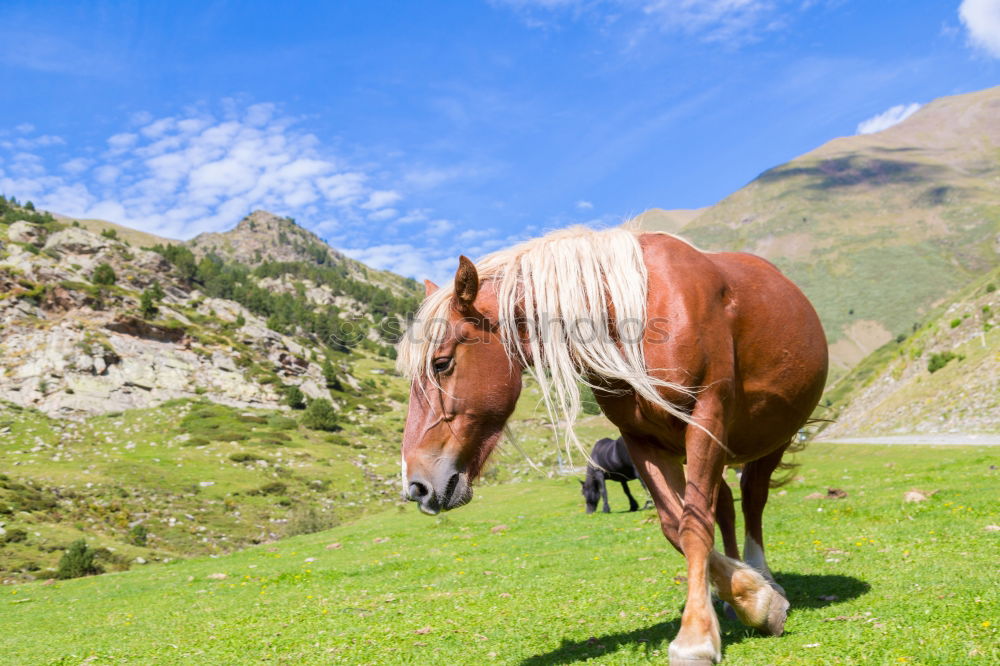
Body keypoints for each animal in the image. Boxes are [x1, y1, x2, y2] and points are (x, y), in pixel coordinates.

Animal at [398, 226, 828, 660]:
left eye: (441, 363)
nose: (416, 486)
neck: (632, 312)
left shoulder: (706, 418)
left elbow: (694, 524)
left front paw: (700, 635)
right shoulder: (642, 440)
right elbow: (675, 525)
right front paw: (746, 594)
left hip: (772, 437)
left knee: (752, 498)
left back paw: (766, 576)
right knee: (723, 502)